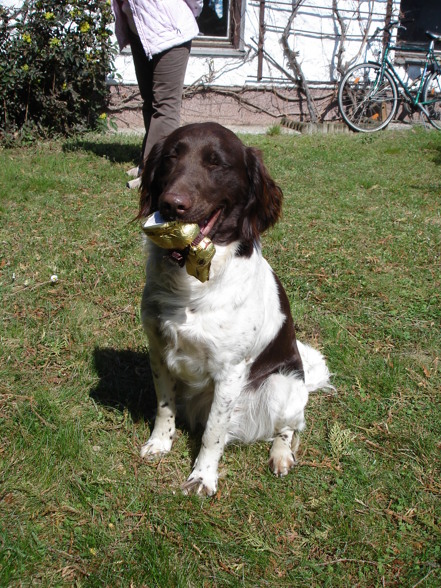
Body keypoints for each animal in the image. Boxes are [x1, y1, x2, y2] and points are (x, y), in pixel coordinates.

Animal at [137, 120, 330, 496]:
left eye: (216, 163)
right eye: (170, 157)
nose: (172, 204)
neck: (194, 279)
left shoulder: (230, 371)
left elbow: (214, 432)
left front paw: (202, 477)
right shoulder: (158, 349)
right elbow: (164, 405)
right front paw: (160, 443)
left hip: (282, 385)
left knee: (288, 428)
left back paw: (281, 456)